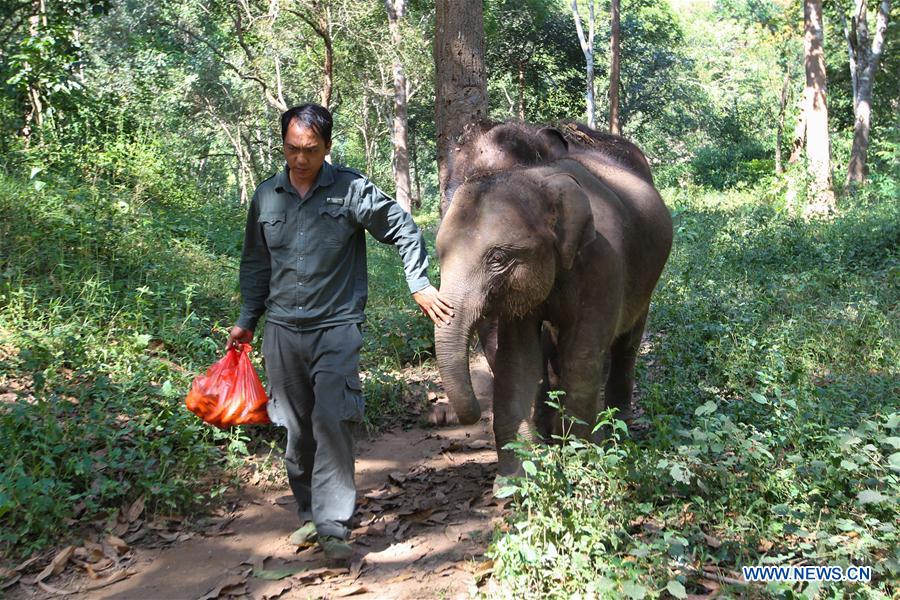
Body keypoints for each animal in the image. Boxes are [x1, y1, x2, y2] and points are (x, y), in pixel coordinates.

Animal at [434, 121, 672, 480]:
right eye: (439, 255)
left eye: (498, 258)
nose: (466, 416)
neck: (541, 178)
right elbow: (517, 358)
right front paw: (515, 476)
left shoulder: (604, 262)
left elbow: (582, 356)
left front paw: (579, 459)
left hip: (646, 281)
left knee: (624, 346)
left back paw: (617, 431)